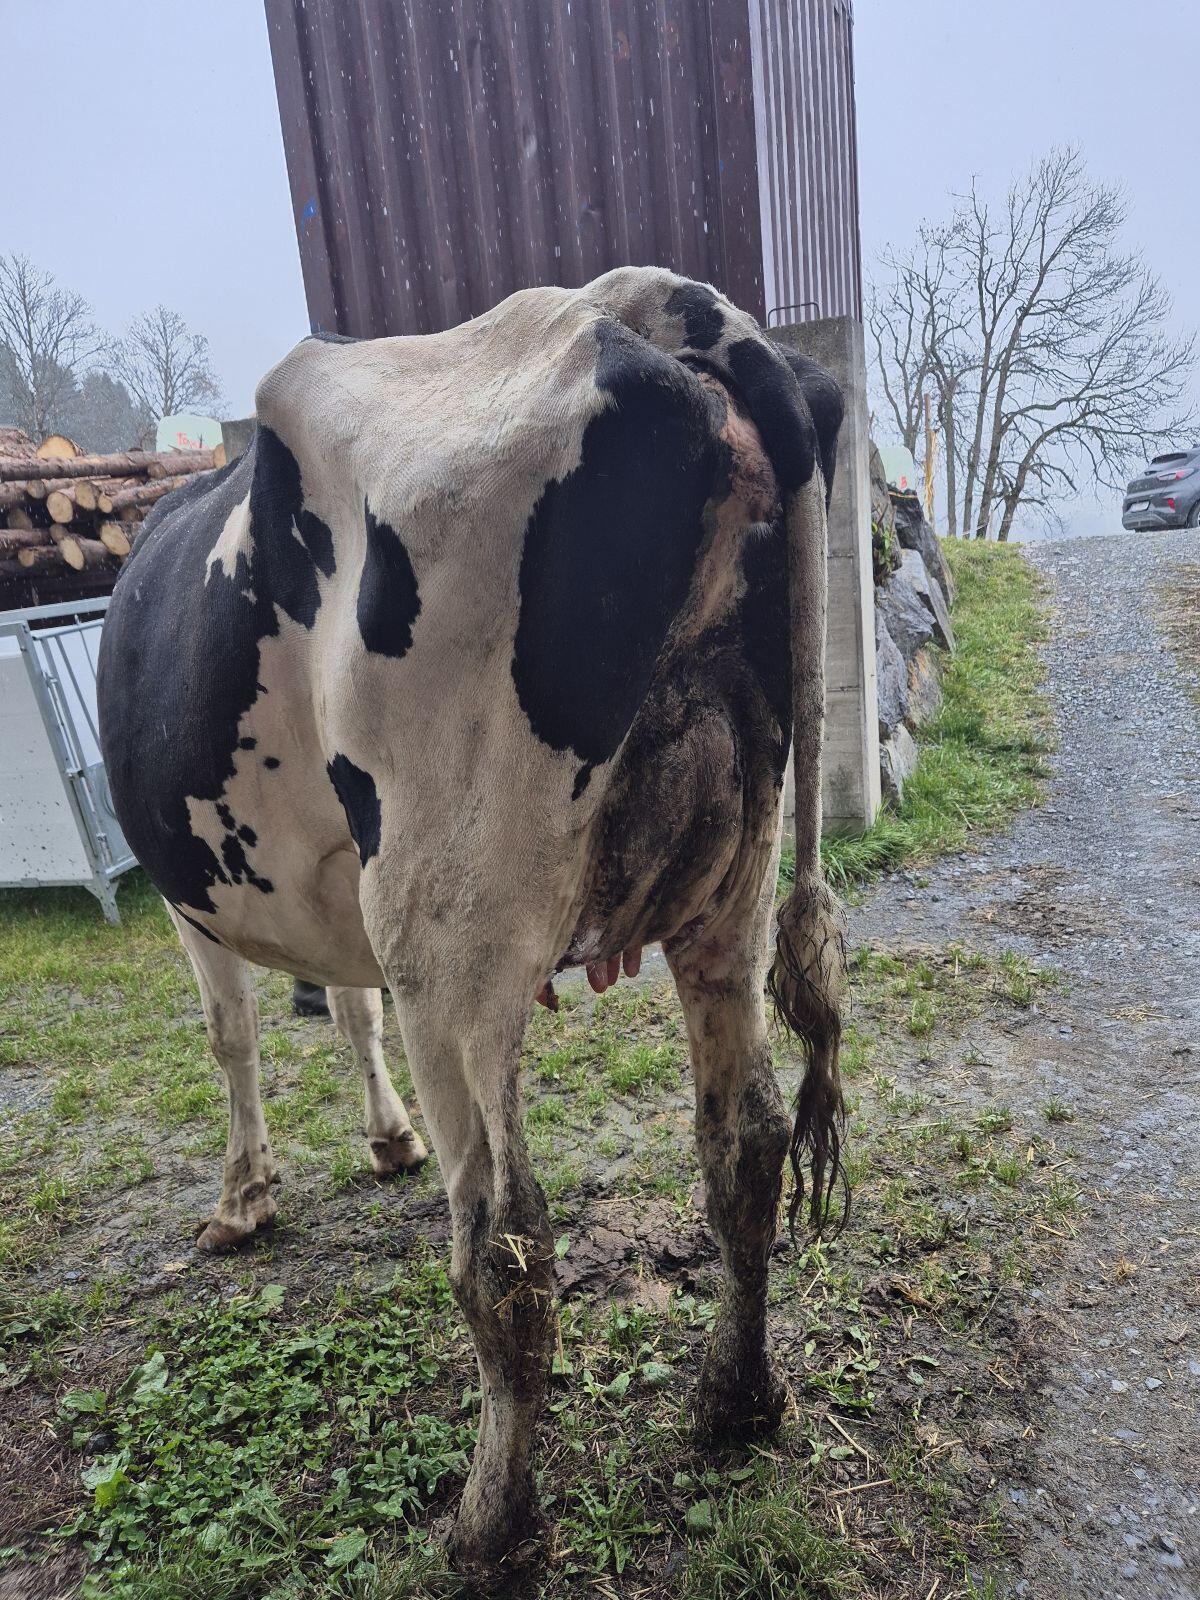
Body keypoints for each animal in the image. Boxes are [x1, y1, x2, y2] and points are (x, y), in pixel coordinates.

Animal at [96, 266, 846, 1581]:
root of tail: (662, 307)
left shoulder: (201, 903)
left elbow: (232, 1034)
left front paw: (244, 1198)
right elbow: (344, 1012)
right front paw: (382, 1138)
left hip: (453, 937)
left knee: (503, 1243)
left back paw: (492, 1519)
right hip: (731, 883)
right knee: (744, 1140)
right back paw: (737, 1399)